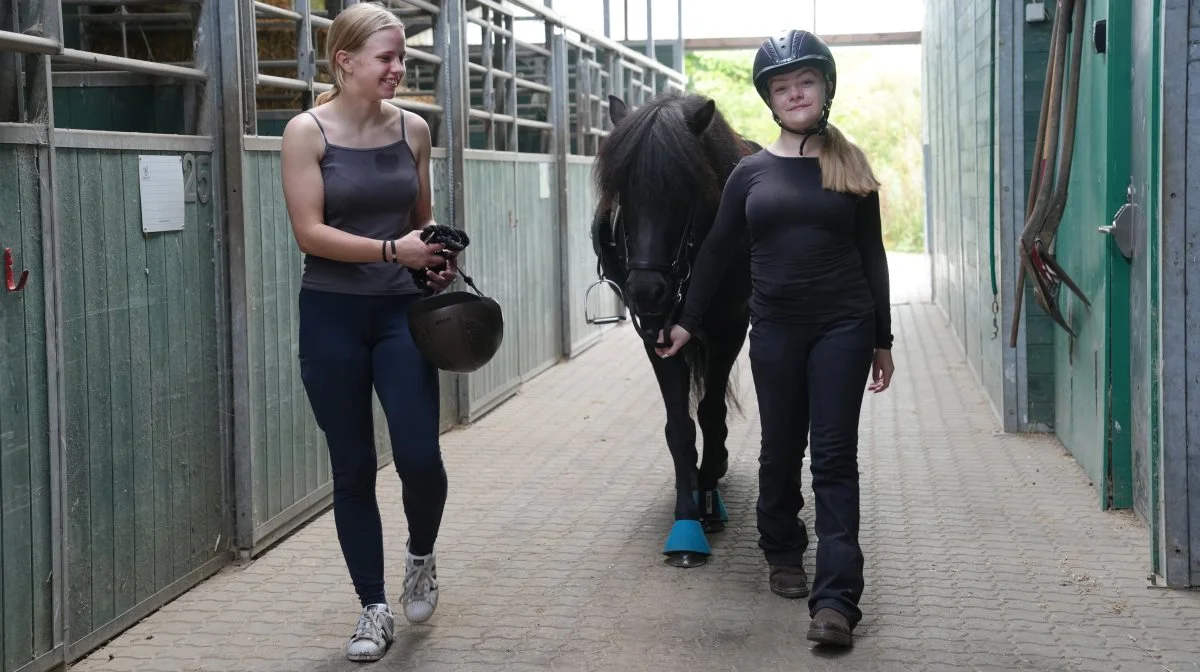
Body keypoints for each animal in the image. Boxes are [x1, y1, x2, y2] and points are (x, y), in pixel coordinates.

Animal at [592, 93, 758, 566]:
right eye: (622, 193)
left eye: (684, 192)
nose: (647, 291)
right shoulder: (656, 334)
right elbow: (680, 427)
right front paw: (686, 521)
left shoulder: (729, 329)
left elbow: (711, 414)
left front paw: (709, 502)